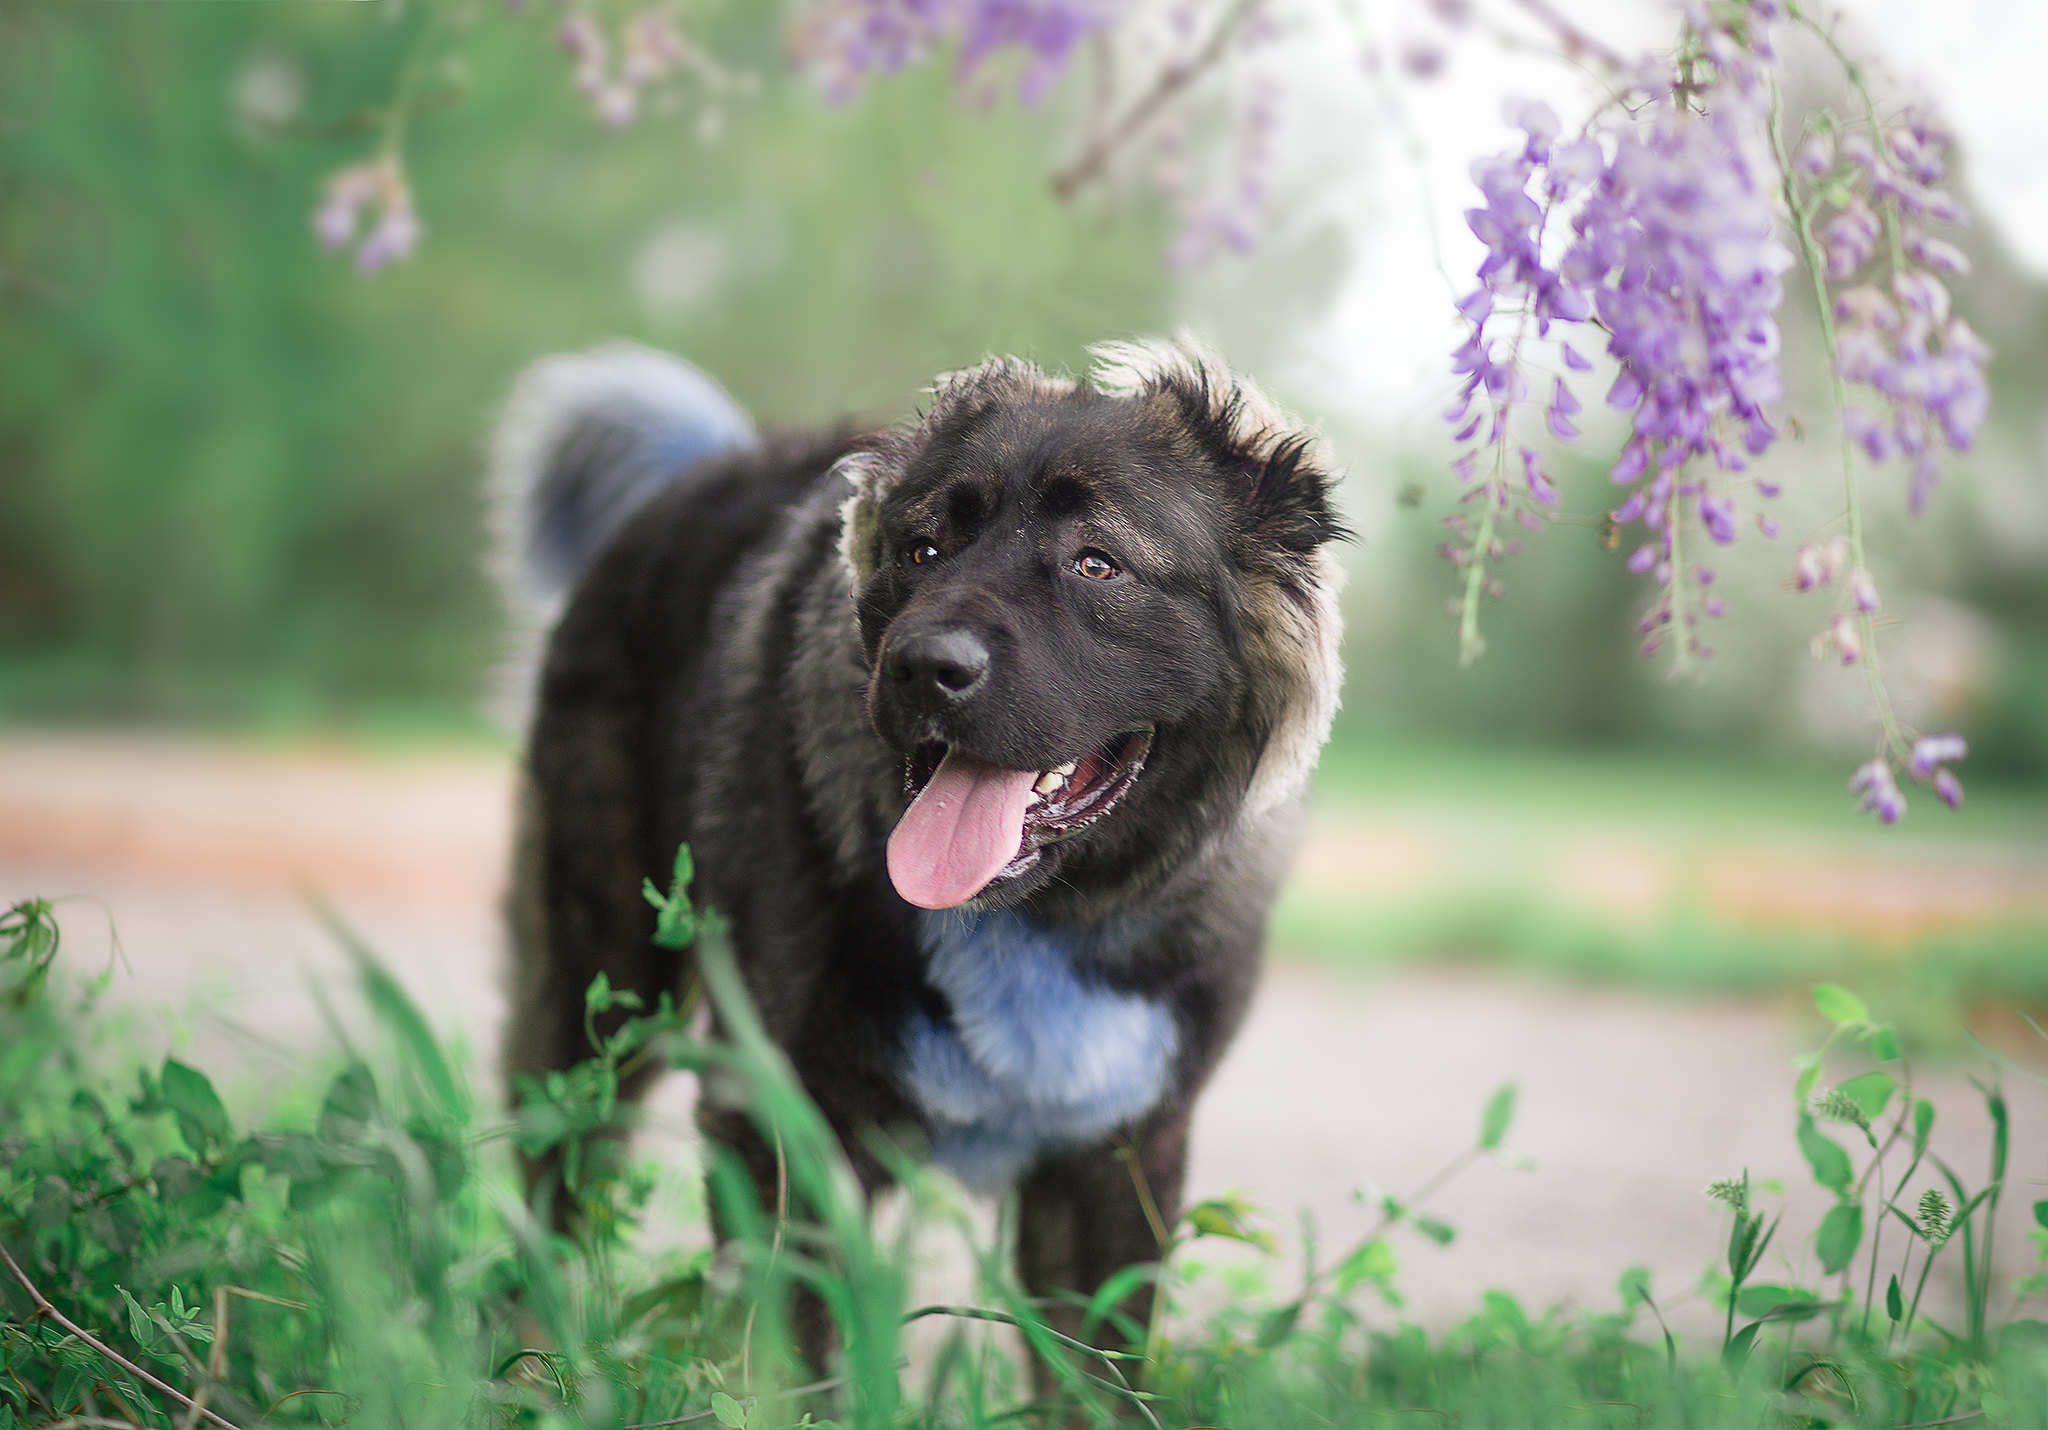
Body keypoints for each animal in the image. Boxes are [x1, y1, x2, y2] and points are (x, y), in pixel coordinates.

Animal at [491, 335, 1343, 1360]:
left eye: (1097, 564)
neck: (1041, 916)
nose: (923, 666)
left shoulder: (1121, 1157)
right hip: (600, 998)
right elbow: (797, 1363)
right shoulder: (788, 1129)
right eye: (922, 551)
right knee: (554, 1192)